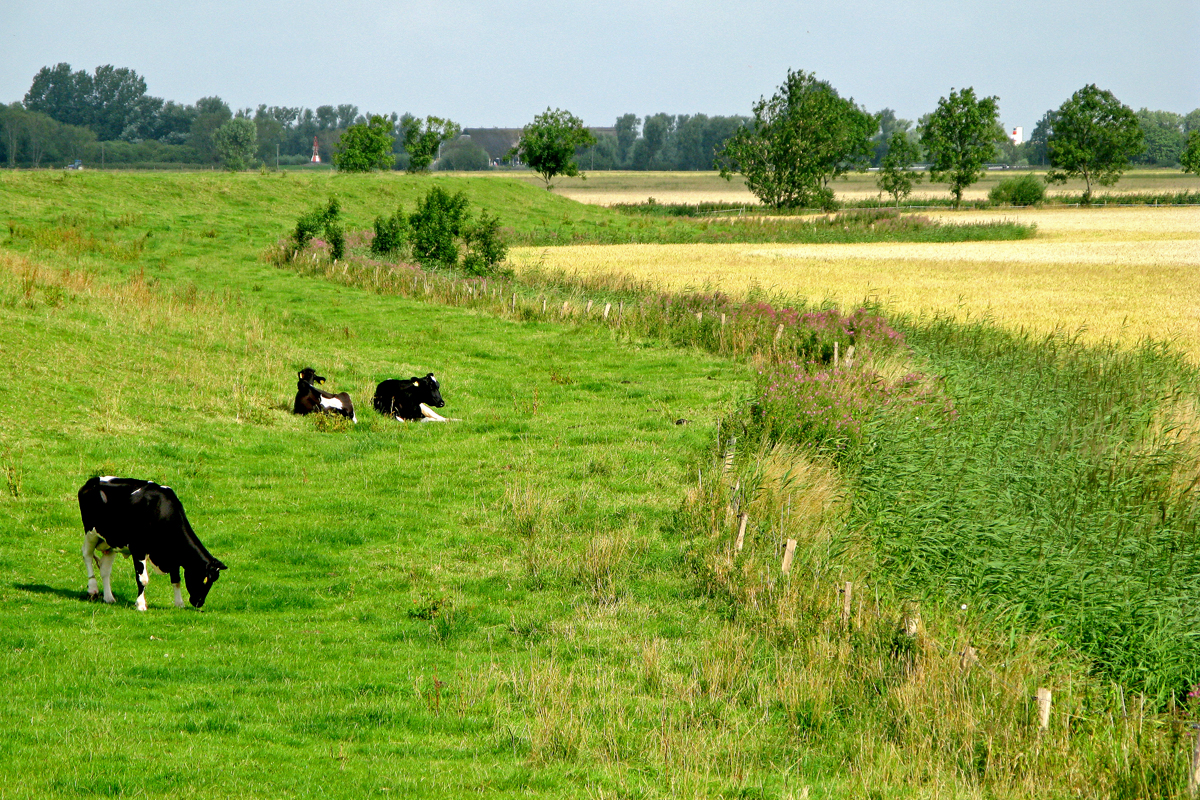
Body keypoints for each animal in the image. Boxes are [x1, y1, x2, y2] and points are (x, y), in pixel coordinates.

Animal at [78, 474, 226, 614]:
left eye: (213, 580)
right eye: (204, 578)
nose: (199, 602)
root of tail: (93, 480)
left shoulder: (173, 555)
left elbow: (176, 580)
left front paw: (179, 604)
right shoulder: (138, 548)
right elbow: (142, 579)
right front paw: (141, 604)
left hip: (111, 542)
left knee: (104, 569)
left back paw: (109, 598)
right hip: (91, 532)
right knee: (87, 555)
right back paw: (92, 588)